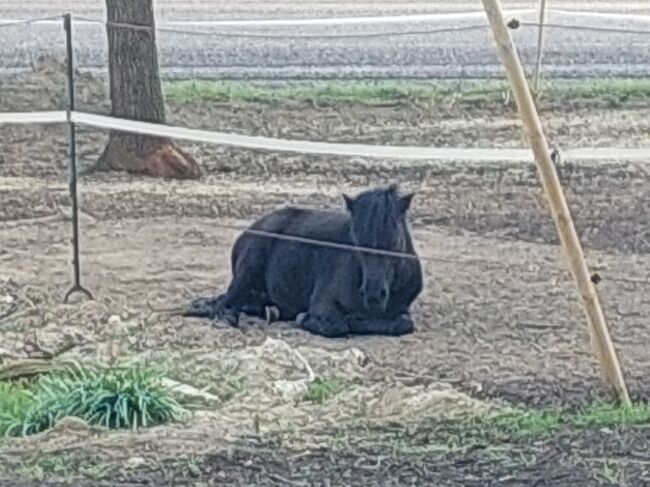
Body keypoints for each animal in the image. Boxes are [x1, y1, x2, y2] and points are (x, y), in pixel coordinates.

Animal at [185, 185, 422, 338]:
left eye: (395, 237)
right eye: (355, 237)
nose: (373, 295)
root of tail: (253, 227)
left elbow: (404, 323)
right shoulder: (323, 304)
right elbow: (336, 326)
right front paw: (306, 318)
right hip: (249, 267)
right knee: (224, 304)